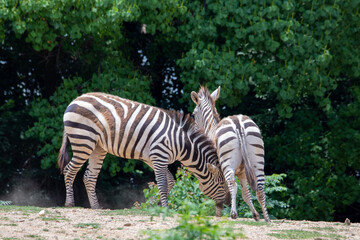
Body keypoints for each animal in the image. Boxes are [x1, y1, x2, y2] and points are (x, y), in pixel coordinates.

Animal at [57, 92, 231, 216]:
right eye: (222, 184)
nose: (229, 204)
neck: (181, 142)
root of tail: (75, 99)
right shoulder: (159, 156)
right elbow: (163, 184)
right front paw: (165, 208)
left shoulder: (153, 159)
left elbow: (170, 182)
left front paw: (163, 204)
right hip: (83, 140)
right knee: (69, 170)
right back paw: (69, 203)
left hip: (98, 147)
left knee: (89, 176)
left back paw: (96, 207)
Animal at [191, 86, 270, 221]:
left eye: (193, 114)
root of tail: (238, 123)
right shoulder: (242, 172)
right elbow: (246, 193)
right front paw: (255, 214)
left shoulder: (218, 170)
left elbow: (223, 191)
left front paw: (219, 213)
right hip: (257, 161)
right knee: (260, 189)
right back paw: (267, 218)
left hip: (228, 163)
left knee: (233, 185)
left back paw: (233, 214)